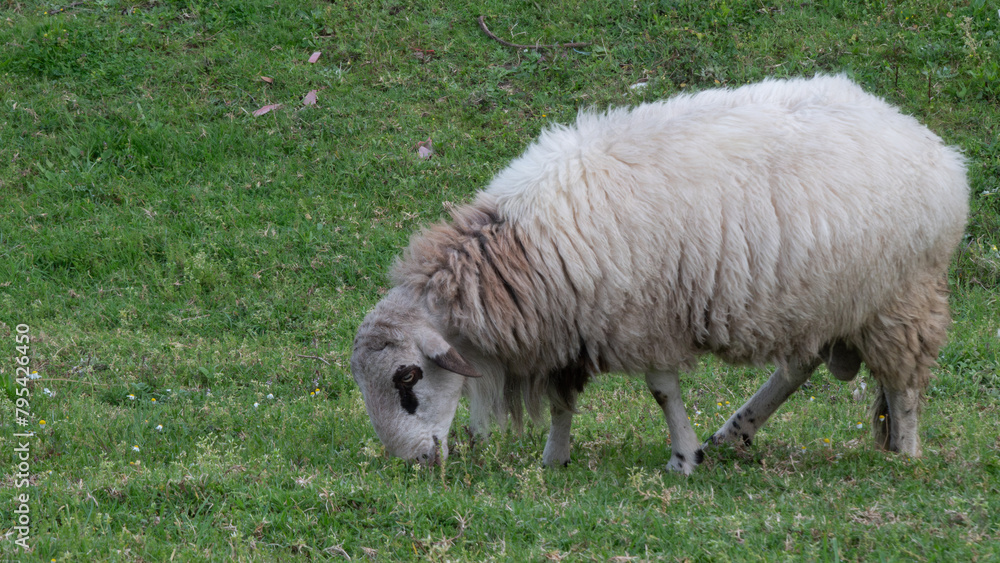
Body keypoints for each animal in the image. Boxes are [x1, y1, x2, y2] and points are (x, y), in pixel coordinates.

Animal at [350, 75, 969, 474]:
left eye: (407, 379)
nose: (414, 464)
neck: (520, 250)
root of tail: (936, 147)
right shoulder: (570, 324)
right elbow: (562, 400)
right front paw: (554, 460)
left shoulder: (642, 319)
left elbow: (661, 391)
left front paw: (683, 458)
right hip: (827, 298)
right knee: (800, 364)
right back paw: (736, 431)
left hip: (901, 297)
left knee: (904, 381)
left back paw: (905, 452)